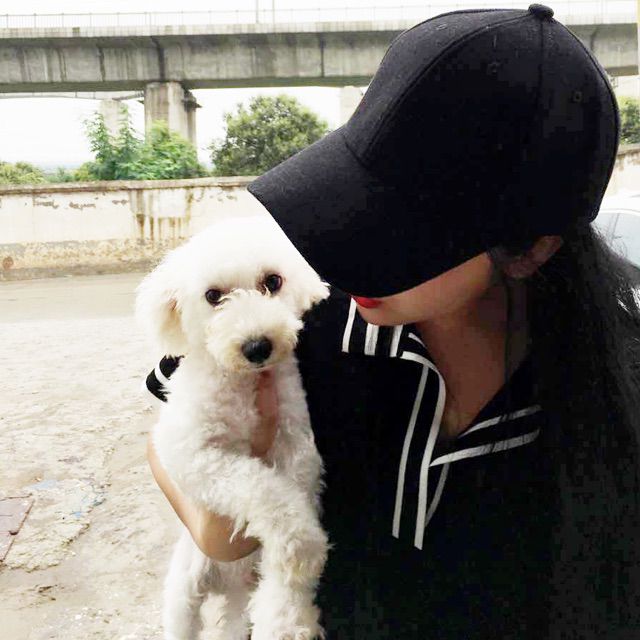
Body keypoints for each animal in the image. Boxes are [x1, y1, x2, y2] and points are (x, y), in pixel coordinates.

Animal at [135, 214, 331, 640]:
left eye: (273, 281)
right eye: (213, 295)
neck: (243, 384)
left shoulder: (297, 445)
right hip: (184, 591)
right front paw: (301, 546)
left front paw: (288, 613)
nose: (257, 346)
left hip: (237, 609)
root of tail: (227, 585)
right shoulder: (191, 452)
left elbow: (290, 499)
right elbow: (260, 487)